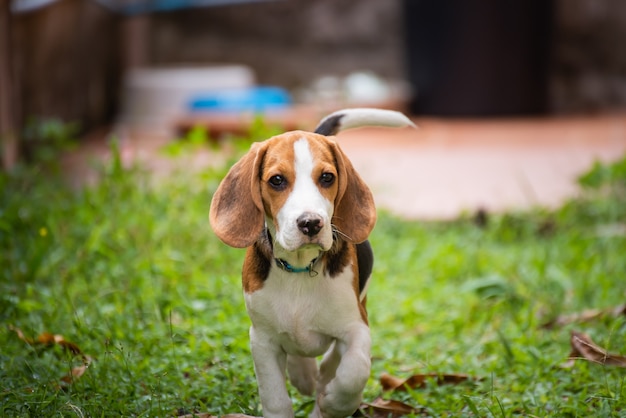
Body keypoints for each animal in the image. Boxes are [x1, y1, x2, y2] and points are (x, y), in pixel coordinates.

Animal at [210, 108, 414, 418]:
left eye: (327, 177)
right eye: (277, 181)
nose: (311, 223)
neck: (299, 268)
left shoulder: (357, 327)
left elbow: (354, 372)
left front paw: (333, 403)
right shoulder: (262, 339)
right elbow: (275, 398)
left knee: (334, 359)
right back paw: (304, 373)